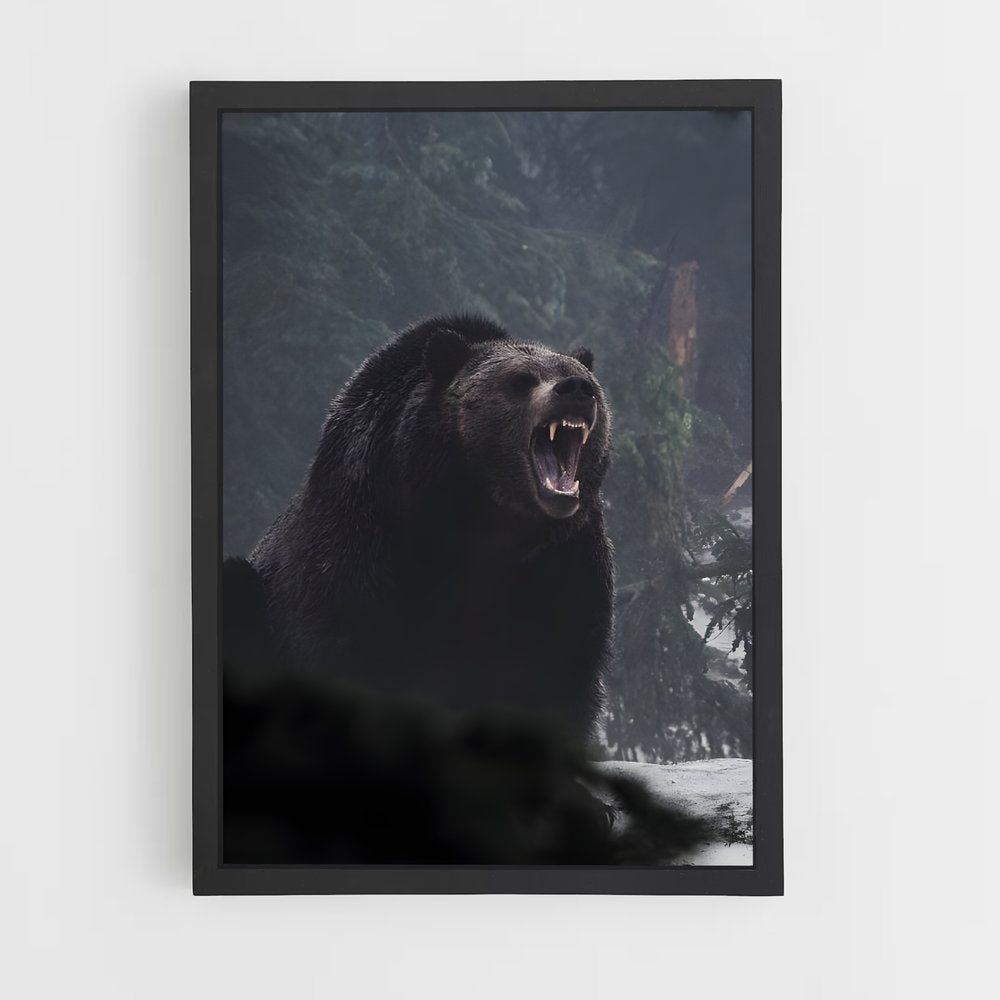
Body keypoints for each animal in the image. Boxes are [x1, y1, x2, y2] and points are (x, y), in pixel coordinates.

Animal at [241, 314, 614, 742]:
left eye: (583, 378)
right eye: (521, 380)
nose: (577, 390)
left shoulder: (565, 562)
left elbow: (557, 673)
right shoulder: (362, 536)